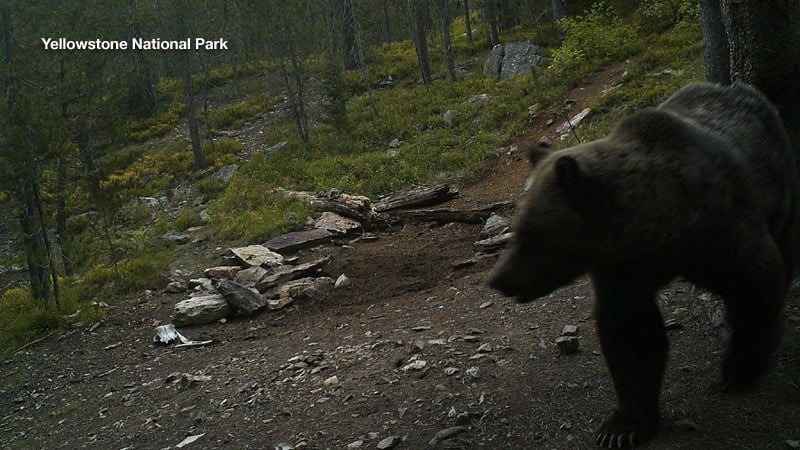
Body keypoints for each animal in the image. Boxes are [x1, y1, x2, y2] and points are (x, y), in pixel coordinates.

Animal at [490, 83, 796, 446]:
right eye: (516, 228)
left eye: (531, 234)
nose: (500, 279)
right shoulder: (625, 269)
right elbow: (631, 332)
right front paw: (623, 426)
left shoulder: (724, 229)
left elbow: (756, 285)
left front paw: (737, 370)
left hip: (781, 184)